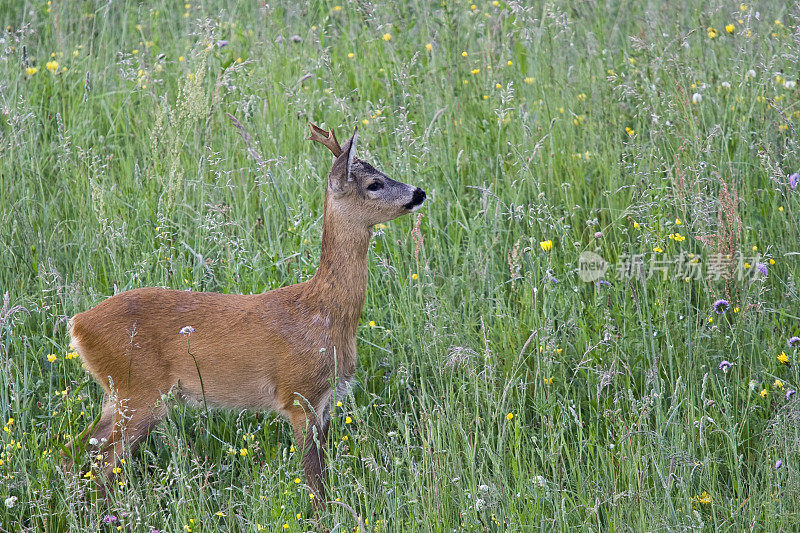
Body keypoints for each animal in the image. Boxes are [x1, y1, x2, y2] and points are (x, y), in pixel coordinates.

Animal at [64, 122, 424, 512]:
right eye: (374, 184)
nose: (419, 192)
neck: (324, 314)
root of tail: (78, 324)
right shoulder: (299, 394)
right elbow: (314, 478)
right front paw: (324, 517)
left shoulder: (328, 400)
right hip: (139, 390)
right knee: (102, 458)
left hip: (118, 394)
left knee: (78, 449)